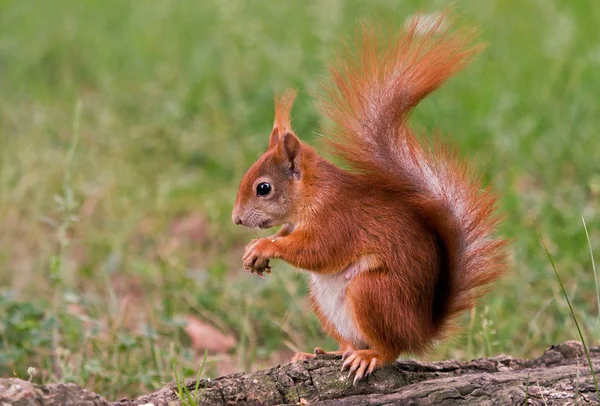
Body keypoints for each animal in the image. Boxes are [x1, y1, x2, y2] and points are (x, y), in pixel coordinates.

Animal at [232, 15, 508, 384]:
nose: (236, 219)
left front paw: (264, 246)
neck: (313, 193)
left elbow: (316, 250)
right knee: (352, 341)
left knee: (390, 349)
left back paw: (369, 356)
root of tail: (420, 330)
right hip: (324, 302)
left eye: (263, 188)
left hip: (373, 292)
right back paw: (329, 351)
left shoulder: (338, 219)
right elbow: (290, 237)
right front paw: (255, 250)